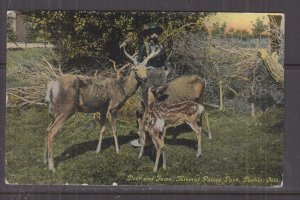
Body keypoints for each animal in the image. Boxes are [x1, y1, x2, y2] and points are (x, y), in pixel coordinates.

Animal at [44, 41, 162, 172]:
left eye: (145, 68)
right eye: (136, 69)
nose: (144, 78)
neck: (123, 89)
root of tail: (52, 85)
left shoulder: (102, 108)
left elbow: (102, 129)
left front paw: (97, 150)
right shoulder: (113, 107)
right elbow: (114, 129)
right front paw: (117, 150)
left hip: (54, 111)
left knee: (47, 129)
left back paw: (45, 161)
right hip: (66, 108)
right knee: (51, 131)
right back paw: (52, 167)